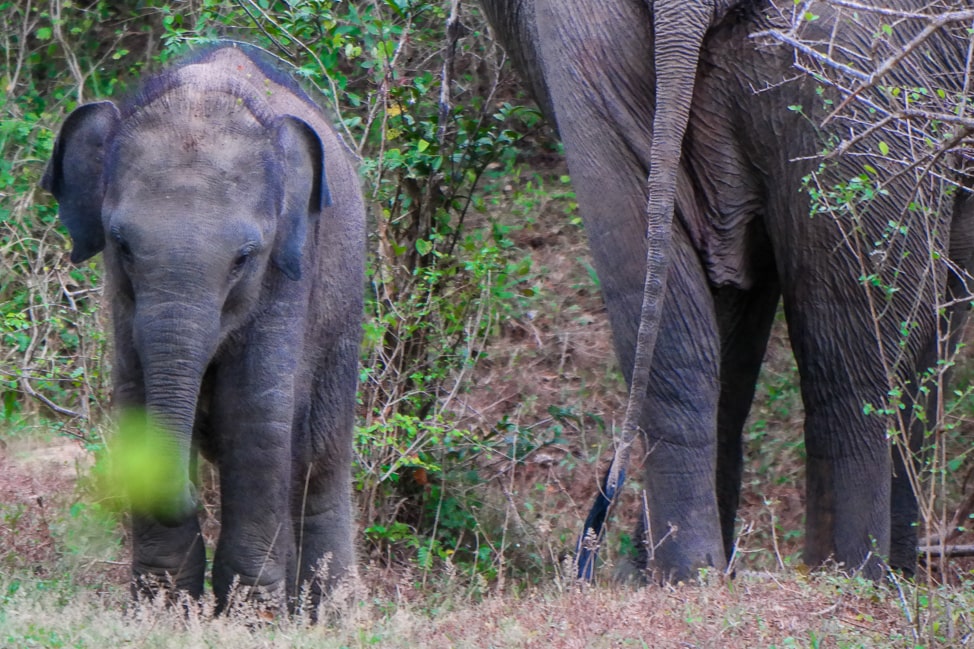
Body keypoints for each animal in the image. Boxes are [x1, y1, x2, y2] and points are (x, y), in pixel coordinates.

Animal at [41, 43, 365, 610]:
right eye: (122, 245)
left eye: (244, 258)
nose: (189, 492)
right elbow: (136, 398)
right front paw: (163, 611)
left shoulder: (288, 276)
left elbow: (255, 414)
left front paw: (249, 616)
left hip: (343, 313)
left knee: (317, 460)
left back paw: (332, 614)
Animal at [480, 0, 974, 581]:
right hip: (864, 56)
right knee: (856, 358)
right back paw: (854, 578)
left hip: (587, 43)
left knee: (668, 326)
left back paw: (686, 577)